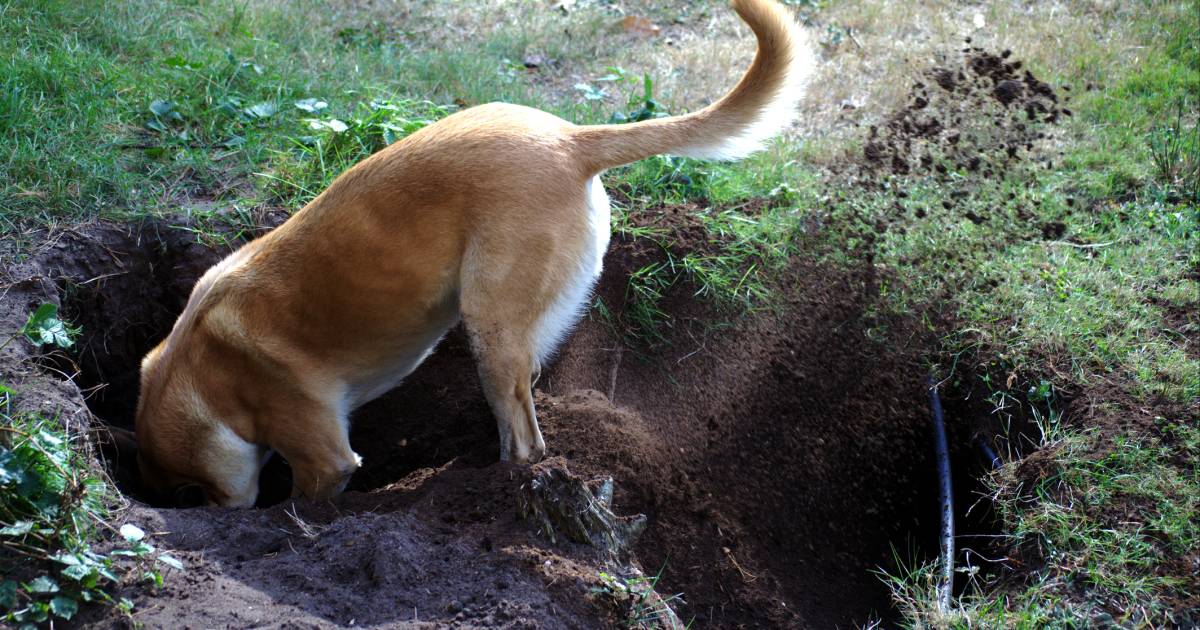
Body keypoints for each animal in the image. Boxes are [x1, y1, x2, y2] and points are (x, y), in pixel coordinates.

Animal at [133, 0, 816, 504]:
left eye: (200, 493)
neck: (203, 368)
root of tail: (570, 139)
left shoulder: (324, 458)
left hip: (490, 325)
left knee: (525, 443)